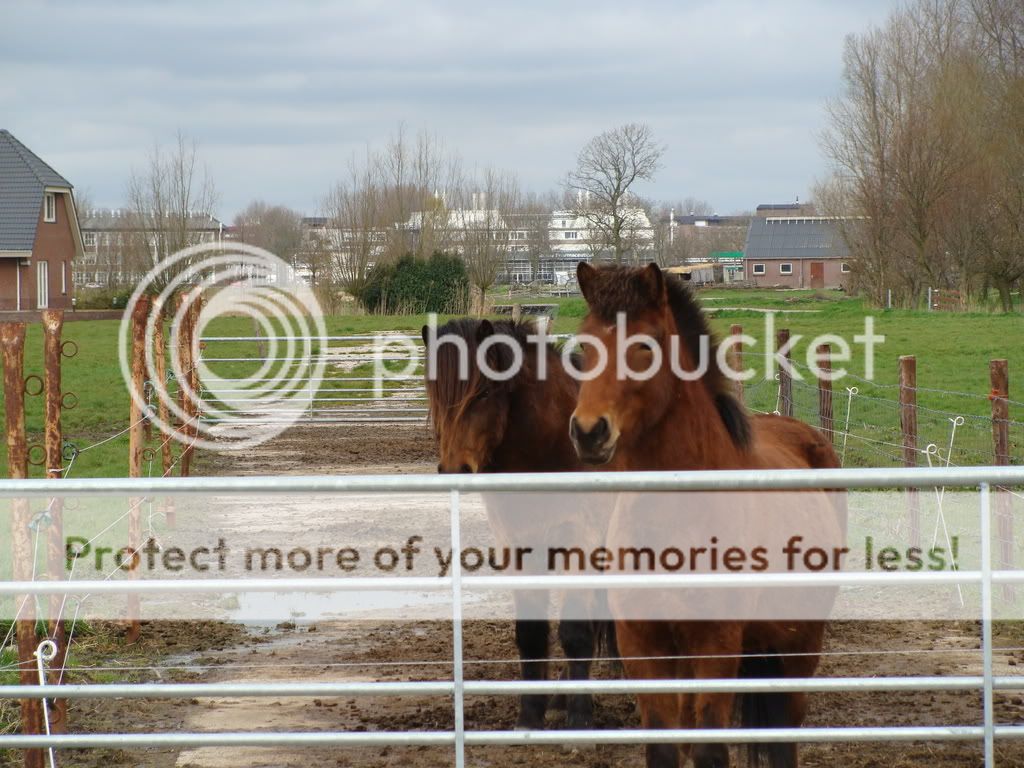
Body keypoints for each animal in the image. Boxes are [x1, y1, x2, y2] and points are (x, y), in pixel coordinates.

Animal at [419, 319, 610, 733]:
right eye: (432, 392)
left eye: (485, 392)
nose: (454, 469)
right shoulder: (519, 546)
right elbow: (531, 632)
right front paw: (531, 714)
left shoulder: (578, 542)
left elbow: (575, 631)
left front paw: (580, 716)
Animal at [569, 264, 839, 768]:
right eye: (584, 346)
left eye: (645, 346)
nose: (589, 431)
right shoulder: (643, 646)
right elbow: (665, 748)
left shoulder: (716, 645)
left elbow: (711, 752)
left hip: (798, 646)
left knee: (785, 737)